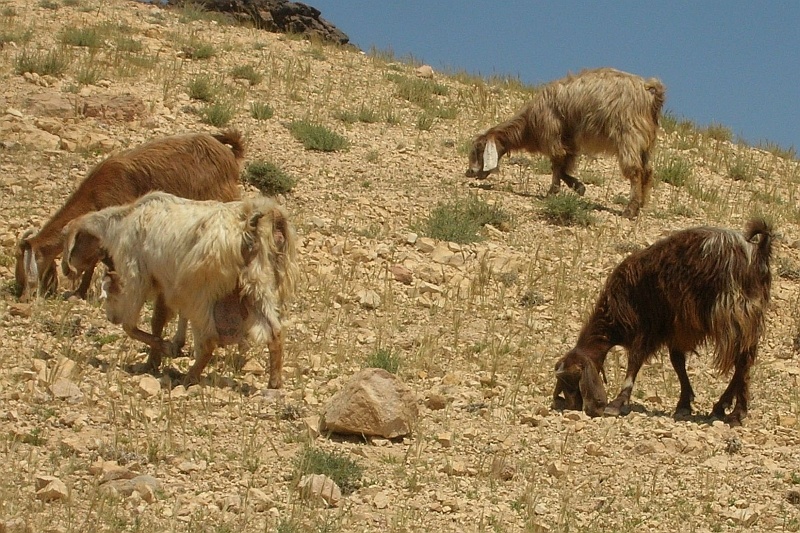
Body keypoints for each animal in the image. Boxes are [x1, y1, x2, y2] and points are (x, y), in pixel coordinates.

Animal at [62, 192, 298, 388]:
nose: (111, 318)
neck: (121, 223)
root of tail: (251, 223)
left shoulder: (137, 275)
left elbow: (130, 326)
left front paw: (165, 348)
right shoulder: (162, 283)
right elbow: (157, 321)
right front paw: (153, 360)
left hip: (199, 292)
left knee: (209, 340)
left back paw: (189, 377)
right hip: (258, 286)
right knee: (275, 331)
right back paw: (274, 382)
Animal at [466, 68, 665, 218]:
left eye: (479, 149)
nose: (469, 172)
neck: (529, 124)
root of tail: (650, 92)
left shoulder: (552, 135)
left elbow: (557, 164)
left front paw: (552, 192)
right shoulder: (568, 141)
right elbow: (563, 166)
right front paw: (578, 187)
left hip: (628, 134)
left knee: (635, 171)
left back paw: (630, 210)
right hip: (645, 141)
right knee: (647, 170)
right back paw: (641, 204)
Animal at [553, 218, 773, 426]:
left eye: (571, 378)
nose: (571, 405)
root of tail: (756, 251)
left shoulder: (648, 324)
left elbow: (635, 359)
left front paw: (617, 402)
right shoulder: (677, 328)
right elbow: (677, 362)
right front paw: (684, 404)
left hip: (732, 313)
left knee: (742, 360)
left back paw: (736, 413)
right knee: (745, 359)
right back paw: (723, 406)